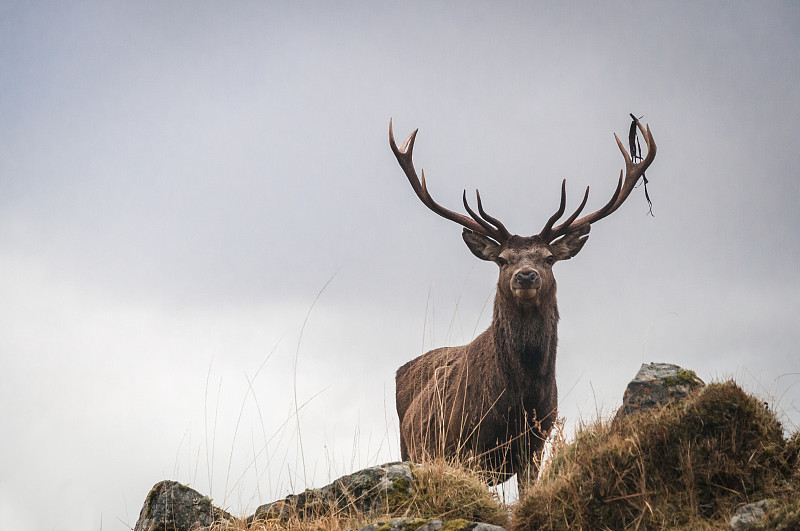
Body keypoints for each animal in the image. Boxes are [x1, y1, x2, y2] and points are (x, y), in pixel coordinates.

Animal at [388, 117, 656, 490]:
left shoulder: (537, 441)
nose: (526, 276)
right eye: (502, 260)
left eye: (548, 259)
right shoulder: (466, 446)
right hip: (410, 450)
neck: (518, 400)